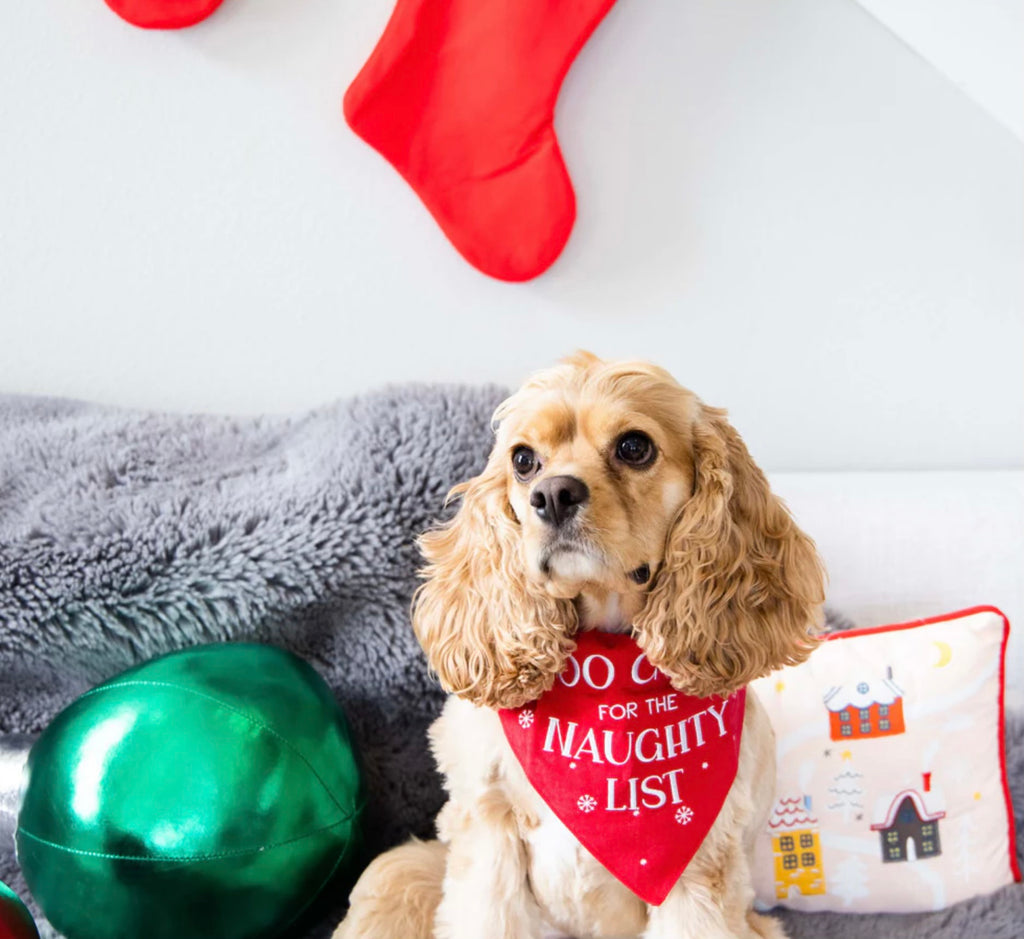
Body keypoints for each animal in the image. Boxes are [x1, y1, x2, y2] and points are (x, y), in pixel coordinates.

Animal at [335, 352, 823, 937]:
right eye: (523, 460)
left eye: (635, 447)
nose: (552, 494)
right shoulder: (487, 831)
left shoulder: (702, 866)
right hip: (405, 866)